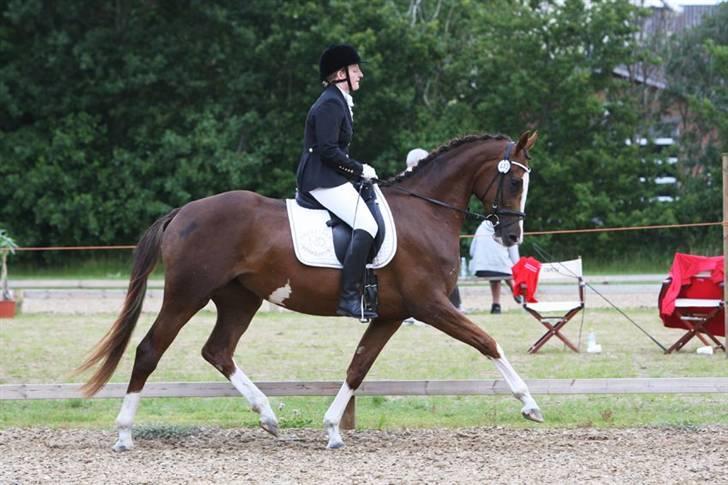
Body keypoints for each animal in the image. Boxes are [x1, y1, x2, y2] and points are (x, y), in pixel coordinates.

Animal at [78, 130, 540, 450]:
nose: (511, 235)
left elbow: (358, 366)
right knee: (149, 350)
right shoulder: (430, 304)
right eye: (515, 183)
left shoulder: (391, 314)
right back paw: (124, 434)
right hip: (186, 294)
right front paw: (529, 404)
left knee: (218, 350)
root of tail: (182, 213)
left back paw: (267, 415)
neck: (425, 212)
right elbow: (487, 341)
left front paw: (333, 429)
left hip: (239, 298)